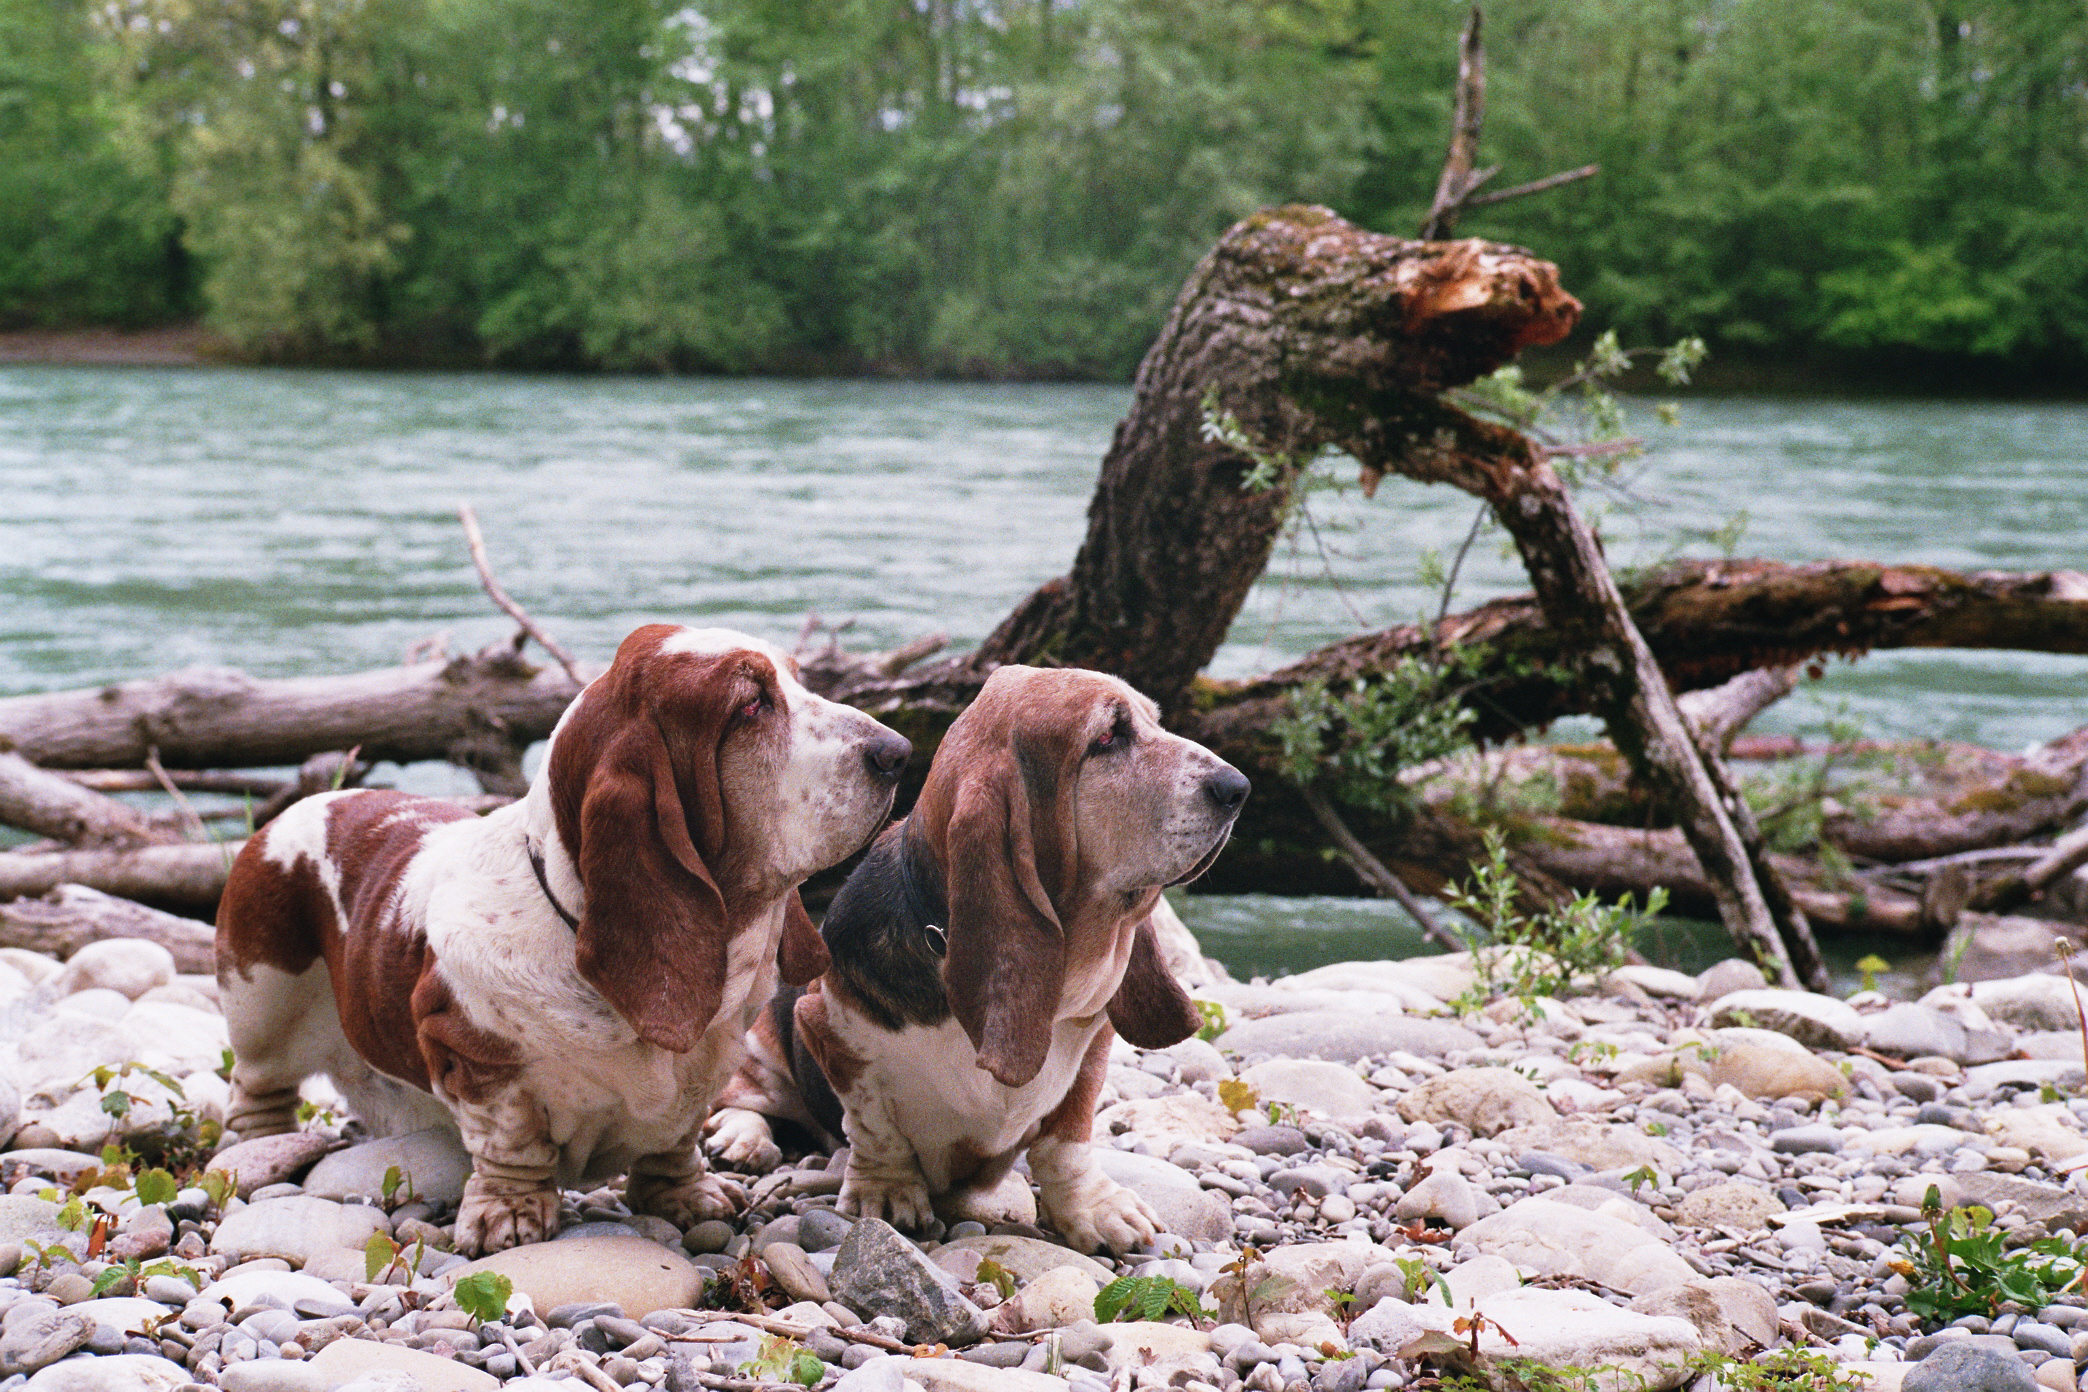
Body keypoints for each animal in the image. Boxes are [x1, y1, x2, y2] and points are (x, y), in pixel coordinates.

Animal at [215, 624, 909, 1253]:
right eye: (750, 705)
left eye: (799, 680)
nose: (899, 751)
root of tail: (306, 807)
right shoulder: (473, 1055)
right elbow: (512, 1141)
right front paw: (509, 1214)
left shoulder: (710, 1063)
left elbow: (676, 1138)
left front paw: (687, 1196)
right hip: (261, 1005)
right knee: (256, 1087)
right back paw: (261, 1144)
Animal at [708, 664, 1247, 1254]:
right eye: (1107, 738)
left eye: (1155, 721)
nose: (1239, 787)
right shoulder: (823, 1024)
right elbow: (874, 1126)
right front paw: (887, 1193)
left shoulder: (1095, 1042)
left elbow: (1068, 1140)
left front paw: (1095, 1209)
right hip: (760, 1034)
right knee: (748, 1093)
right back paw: (741, 1138)